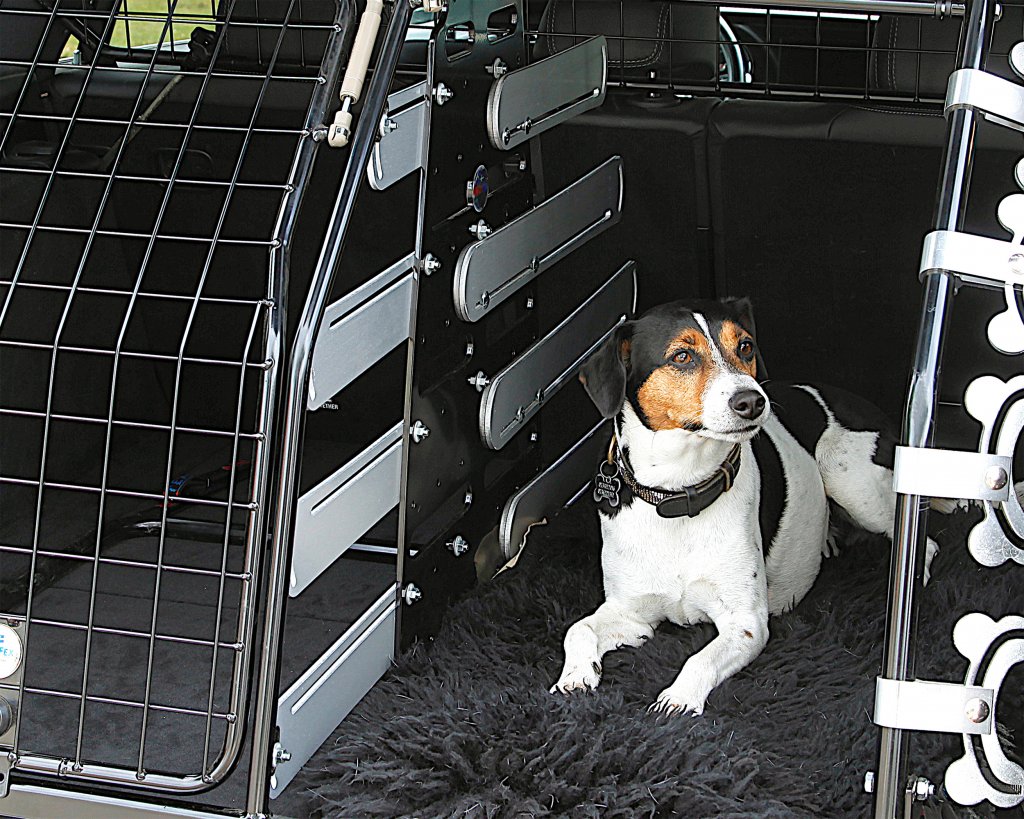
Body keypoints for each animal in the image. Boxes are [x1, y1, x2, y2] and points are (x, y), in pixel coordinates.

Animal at [551, 297, 945, 715]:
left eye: (745, 347)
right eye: (681, 356)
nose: (752, 400)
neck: (678, 495)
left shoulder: (746, 621)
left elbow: (700, 659)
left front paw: (678, 700)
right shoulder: (631, 612)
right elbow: (578, 628)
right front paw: (576, 676)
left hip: (850, 480)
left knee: (924, 542)